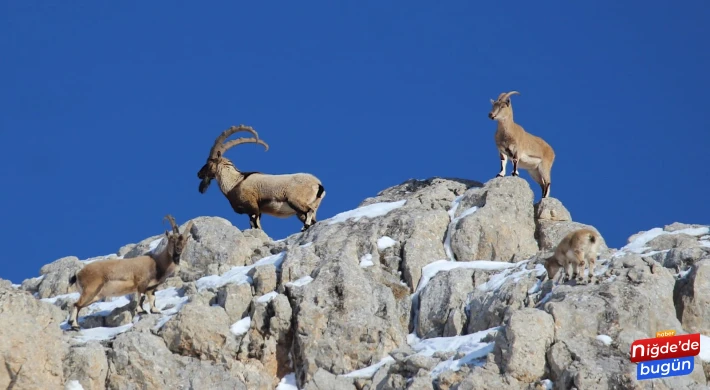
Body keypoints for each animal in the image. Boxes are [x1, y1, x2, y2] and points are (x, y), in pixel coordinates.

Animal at [196, 125, 326, 233]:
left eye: (209, 162)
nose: (199, 174)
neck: (235, 183)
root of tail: (318, 185)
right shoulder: (257, 211)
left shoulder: (252, 207)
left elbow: (255, 224)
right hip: (307, 208)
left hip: (295, 200)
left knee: (309, 211)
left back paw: (304, 227)